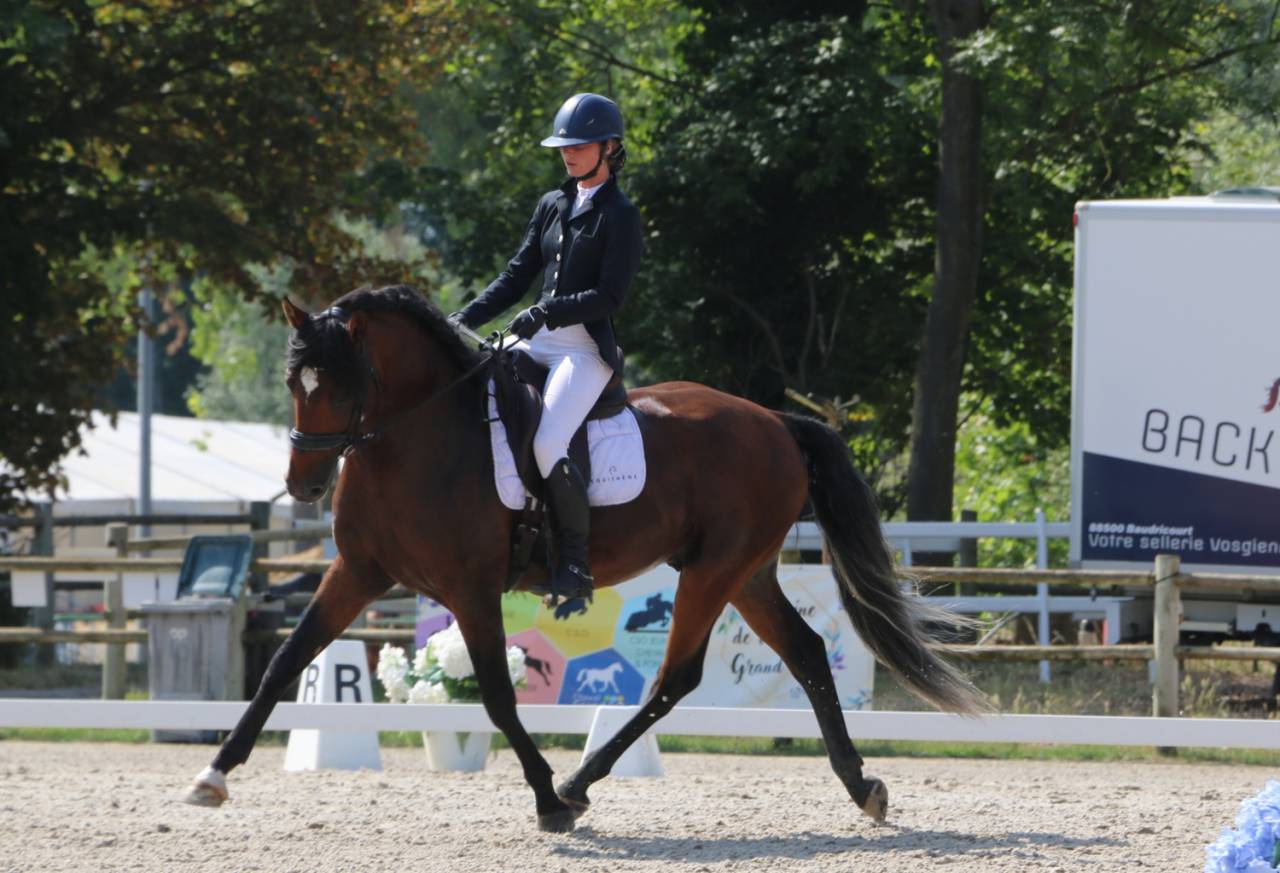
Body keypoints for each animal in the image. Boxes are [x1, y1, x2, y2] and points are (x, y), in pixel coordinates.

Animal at [182, 284, 985, 833]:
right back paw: (862, 786)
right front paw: (213, 775)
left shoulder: (470, 587)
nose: (304, 484)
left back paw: (577, 784)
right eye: (295, 383)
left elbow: (498, 696)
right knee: (809, 652)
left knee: (676, 676)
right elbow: (286, 663)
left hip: (714, 571)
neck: (416, 439)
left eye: (346, 383)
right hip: (748, 573)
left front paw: (545, 798)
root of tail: (778, 421)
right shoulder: (357, 573)